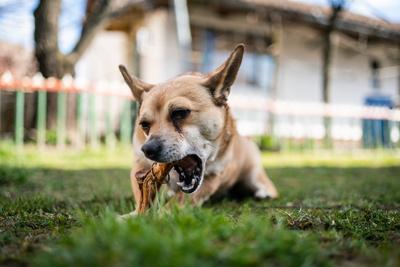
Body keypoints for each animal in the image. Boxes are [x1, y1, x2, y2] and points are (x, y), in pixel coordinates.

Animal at [119, 43, 278, 216]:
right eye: (144, 125)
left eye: (180, 112)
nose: (148, 149)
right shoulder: (140, 167)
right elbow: (142, 196)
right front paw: (134, 214)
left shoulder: (212, 178)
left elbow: (177, 202)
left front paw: (156, 215)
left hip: (254, 175)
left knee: (269, 188)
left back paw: (262, 193)